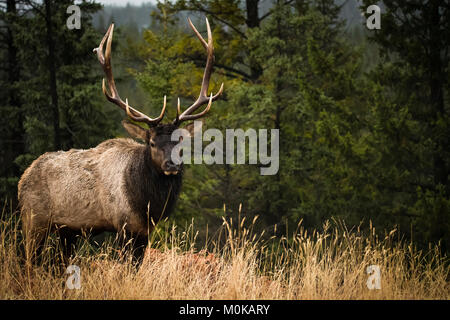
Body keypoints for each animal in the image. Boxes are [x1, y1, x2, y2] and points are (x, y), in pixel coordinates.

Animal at [18, 18, 223, 262]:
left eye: (180, 141)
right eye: (152, 142)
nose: (171, 165)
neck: (146, 204)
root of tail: (22, 179)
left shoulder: (144, 232)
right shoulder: (123, 225)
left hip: (67, 230)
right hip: (33, 220)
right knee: (29, 260)